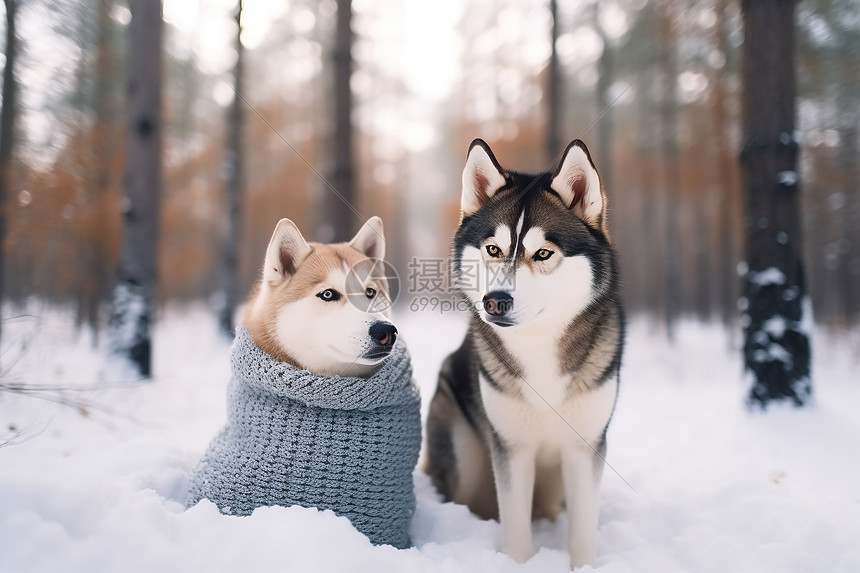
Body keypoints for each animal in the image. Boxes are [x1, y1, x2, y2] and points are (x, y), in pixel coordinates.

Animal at [424, 139, 620, 568]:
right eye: (493, 249)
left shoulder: (584, 448)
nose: (495, 301)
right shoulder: (511, 449)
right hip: (464, 456)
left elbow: (583, 532)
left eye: (543, 254)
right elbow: (515, 533)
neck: (538, 346)